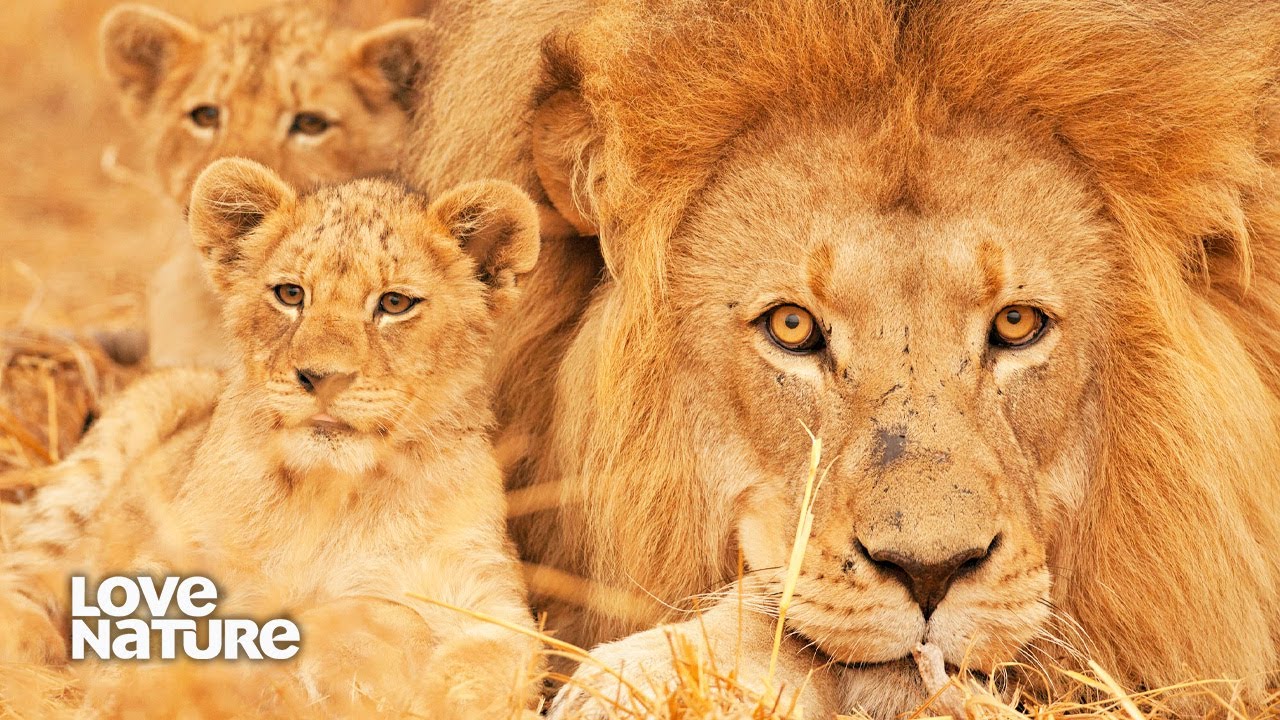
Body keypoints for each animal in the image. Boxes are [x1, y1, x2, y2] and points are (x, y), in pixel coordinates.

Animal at [0, 157, 543, 716]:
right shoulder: (166, 572)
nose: (322, 377)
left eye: (395, 303)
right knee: (25, 568)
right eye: (290, 294)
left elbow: (485, 665)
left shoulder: (491, 601)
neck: (335, 493)